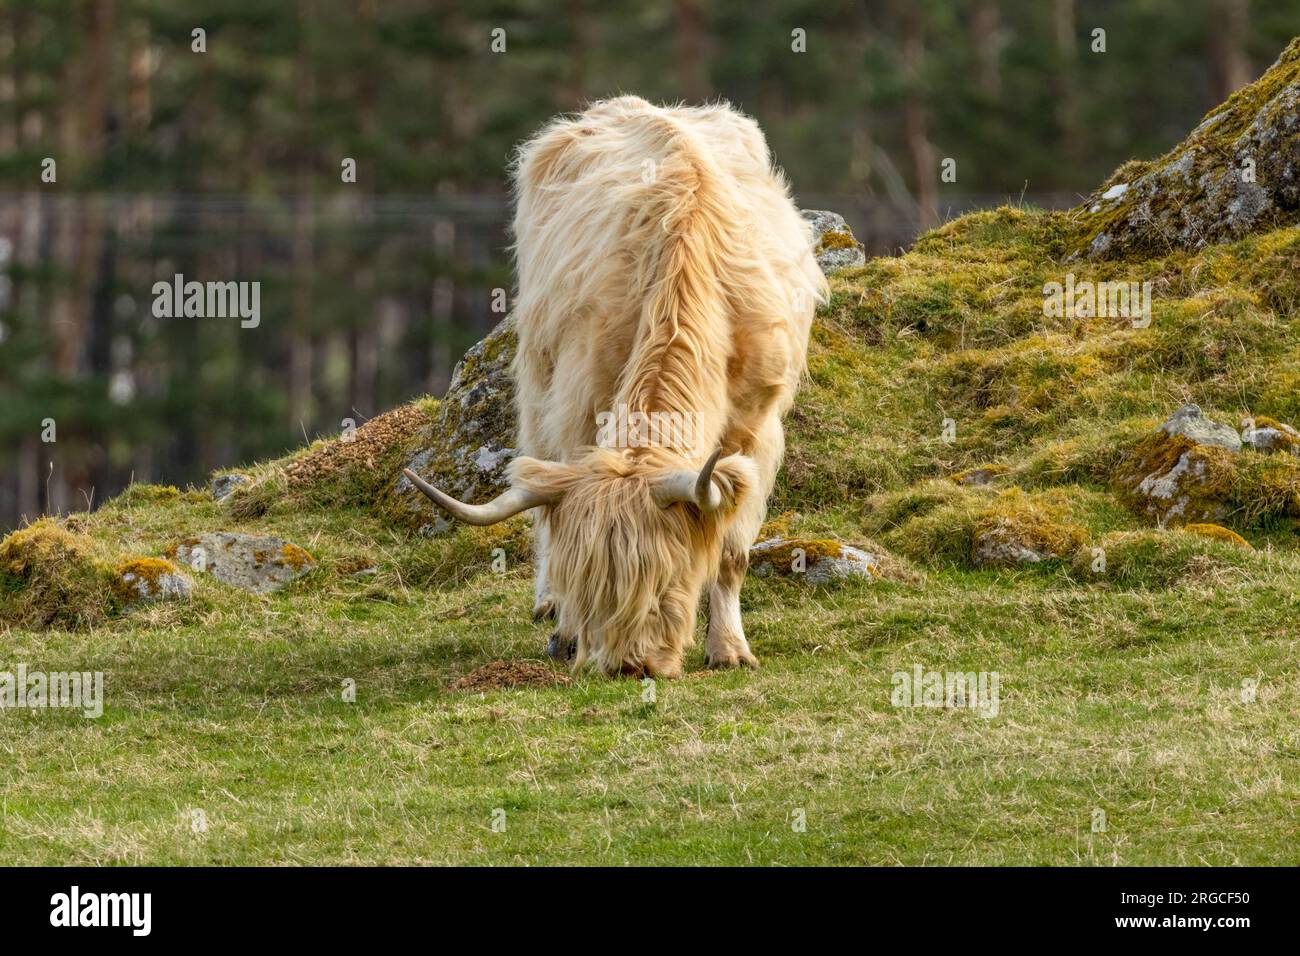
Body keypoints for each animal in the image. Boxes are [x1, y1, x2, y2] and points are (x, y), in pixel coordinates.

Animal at [403, 96, 827, 678]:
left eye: (665, 583)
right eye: (590, 583)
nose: (630, 666)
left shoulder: (755, 426)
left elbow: (732, 549)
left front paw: (730, 648)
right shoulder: (581, 401)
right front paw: (565, 627)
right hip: (538, 372)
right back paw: (547, 605)